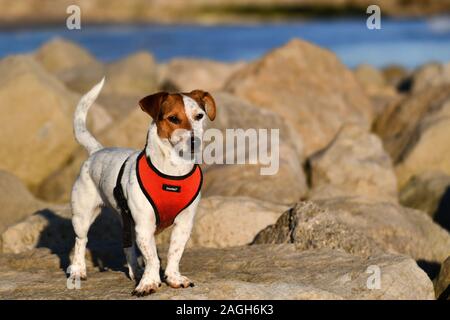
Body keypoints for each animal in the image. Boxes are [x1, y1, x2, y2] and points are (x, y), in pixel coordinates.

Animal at [67, 77, 217, 296]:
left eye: (199, 116)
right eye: (173, 118)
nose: (194, 142)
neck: (173, 172)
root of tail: (97, 151)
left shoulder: (184, 223)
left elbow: (174, 253)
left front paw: (173, 278)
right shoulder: (145, 226)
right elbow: (152, 258)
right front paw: (149, 282)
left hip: (127, 221)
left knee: (128, 247)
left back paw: (135, 270)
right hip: (83, 216)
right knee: (80, 240)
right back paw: (78, 270)